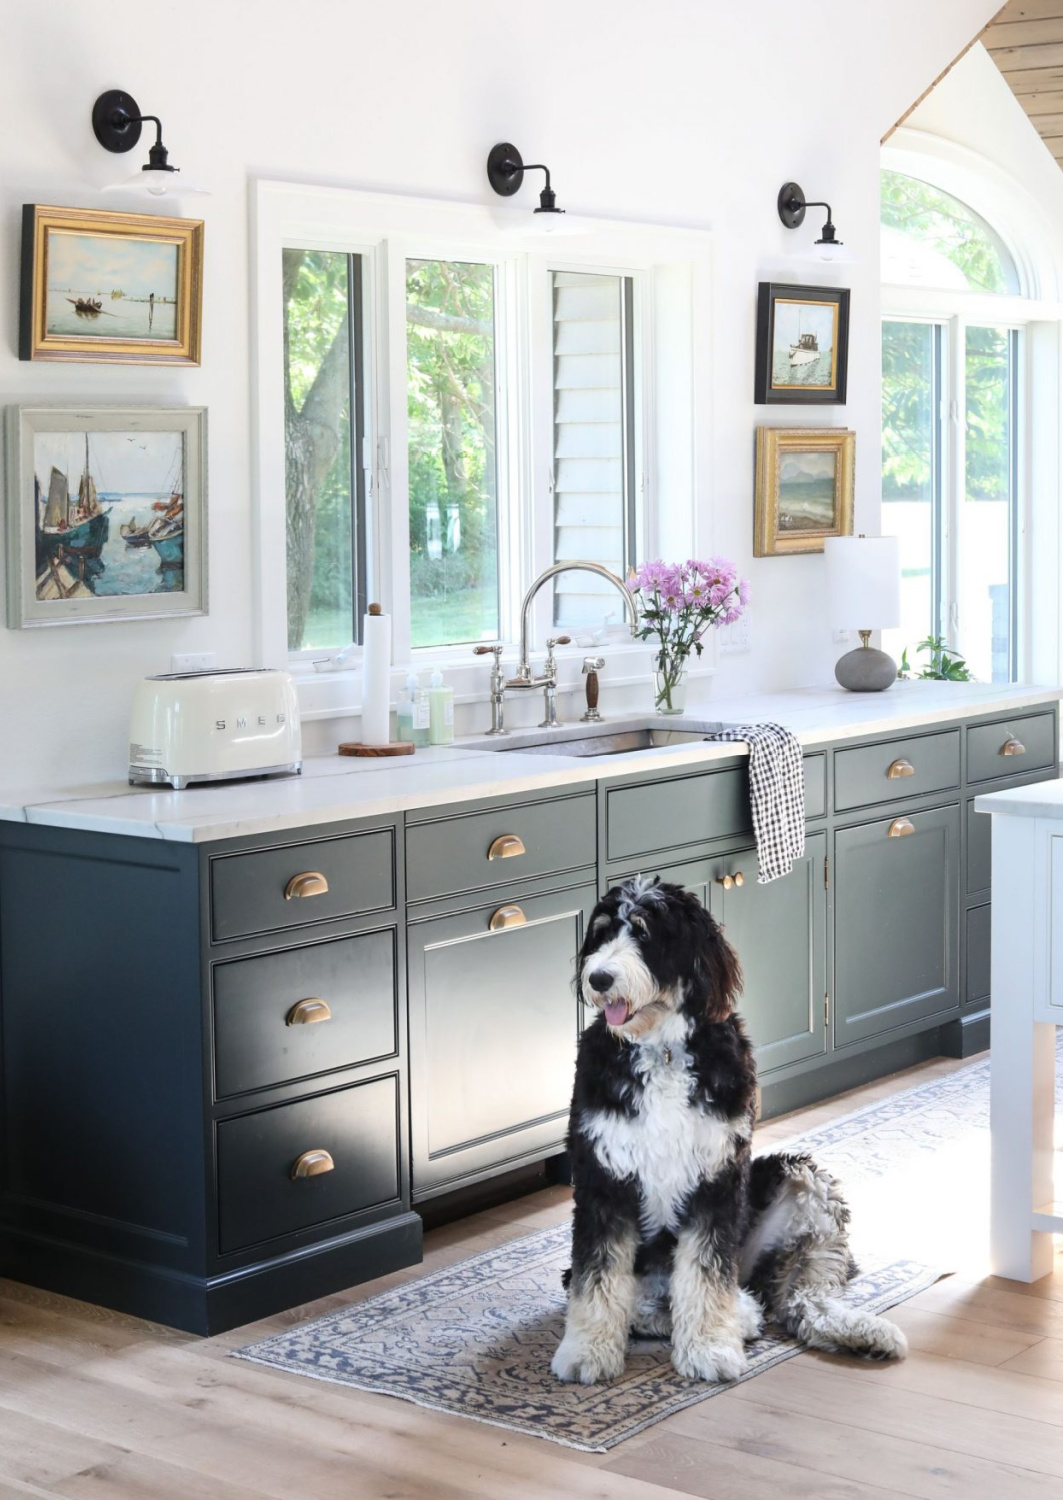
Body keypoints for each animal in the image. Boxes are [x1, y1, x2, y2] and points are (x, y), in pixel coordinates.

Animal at [551, 876, 905, 1386]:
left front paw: (710, 1349)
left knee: (798, 1296)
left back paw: (853, 1330)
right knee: (649, 1303)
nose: (598, 978)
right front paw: (587, 1352)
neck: (662, 1050)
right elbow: (597, 1277)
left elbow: (705, 1273)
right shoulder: (604, 1177)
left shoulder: (717, 1176)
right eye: (600, 933)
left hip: (801, 1183)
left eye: (643, 932)